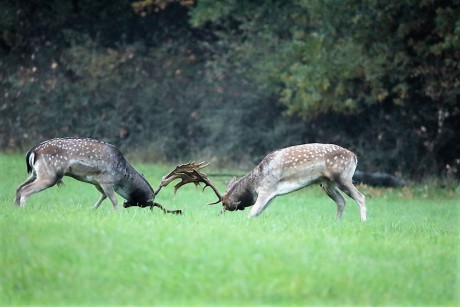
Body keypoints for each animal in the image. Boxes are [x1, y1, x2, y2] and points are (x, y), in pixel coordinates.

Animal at [16, 138, 181, 215]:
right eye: (144, 202)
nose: (126, 204)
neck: (121, 175)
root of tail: (32, 152)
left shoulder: (97, 182)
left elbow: (103, 197)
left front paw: (92, 209)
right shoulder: (106, 180)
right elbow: (113, 199)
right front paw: (117, 214)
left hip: (34, 173)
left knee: (18, 188)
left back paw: (15, 209)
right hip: (49, 175)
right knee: (25, 190)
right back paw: (23, 210)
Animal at [161, 144, 366, 221]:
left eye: (225, 204)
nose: (220, 215)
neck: (256, 181)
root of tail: (355, 157)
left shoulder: (266, 189)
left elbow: (251, 213)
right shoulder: (272, 194)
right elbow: (258, 213)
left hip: (343, 177)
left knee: (361, 197)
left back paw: (363, 222)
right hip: (327, 183)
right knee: (342, 201)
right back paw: (336, 223)